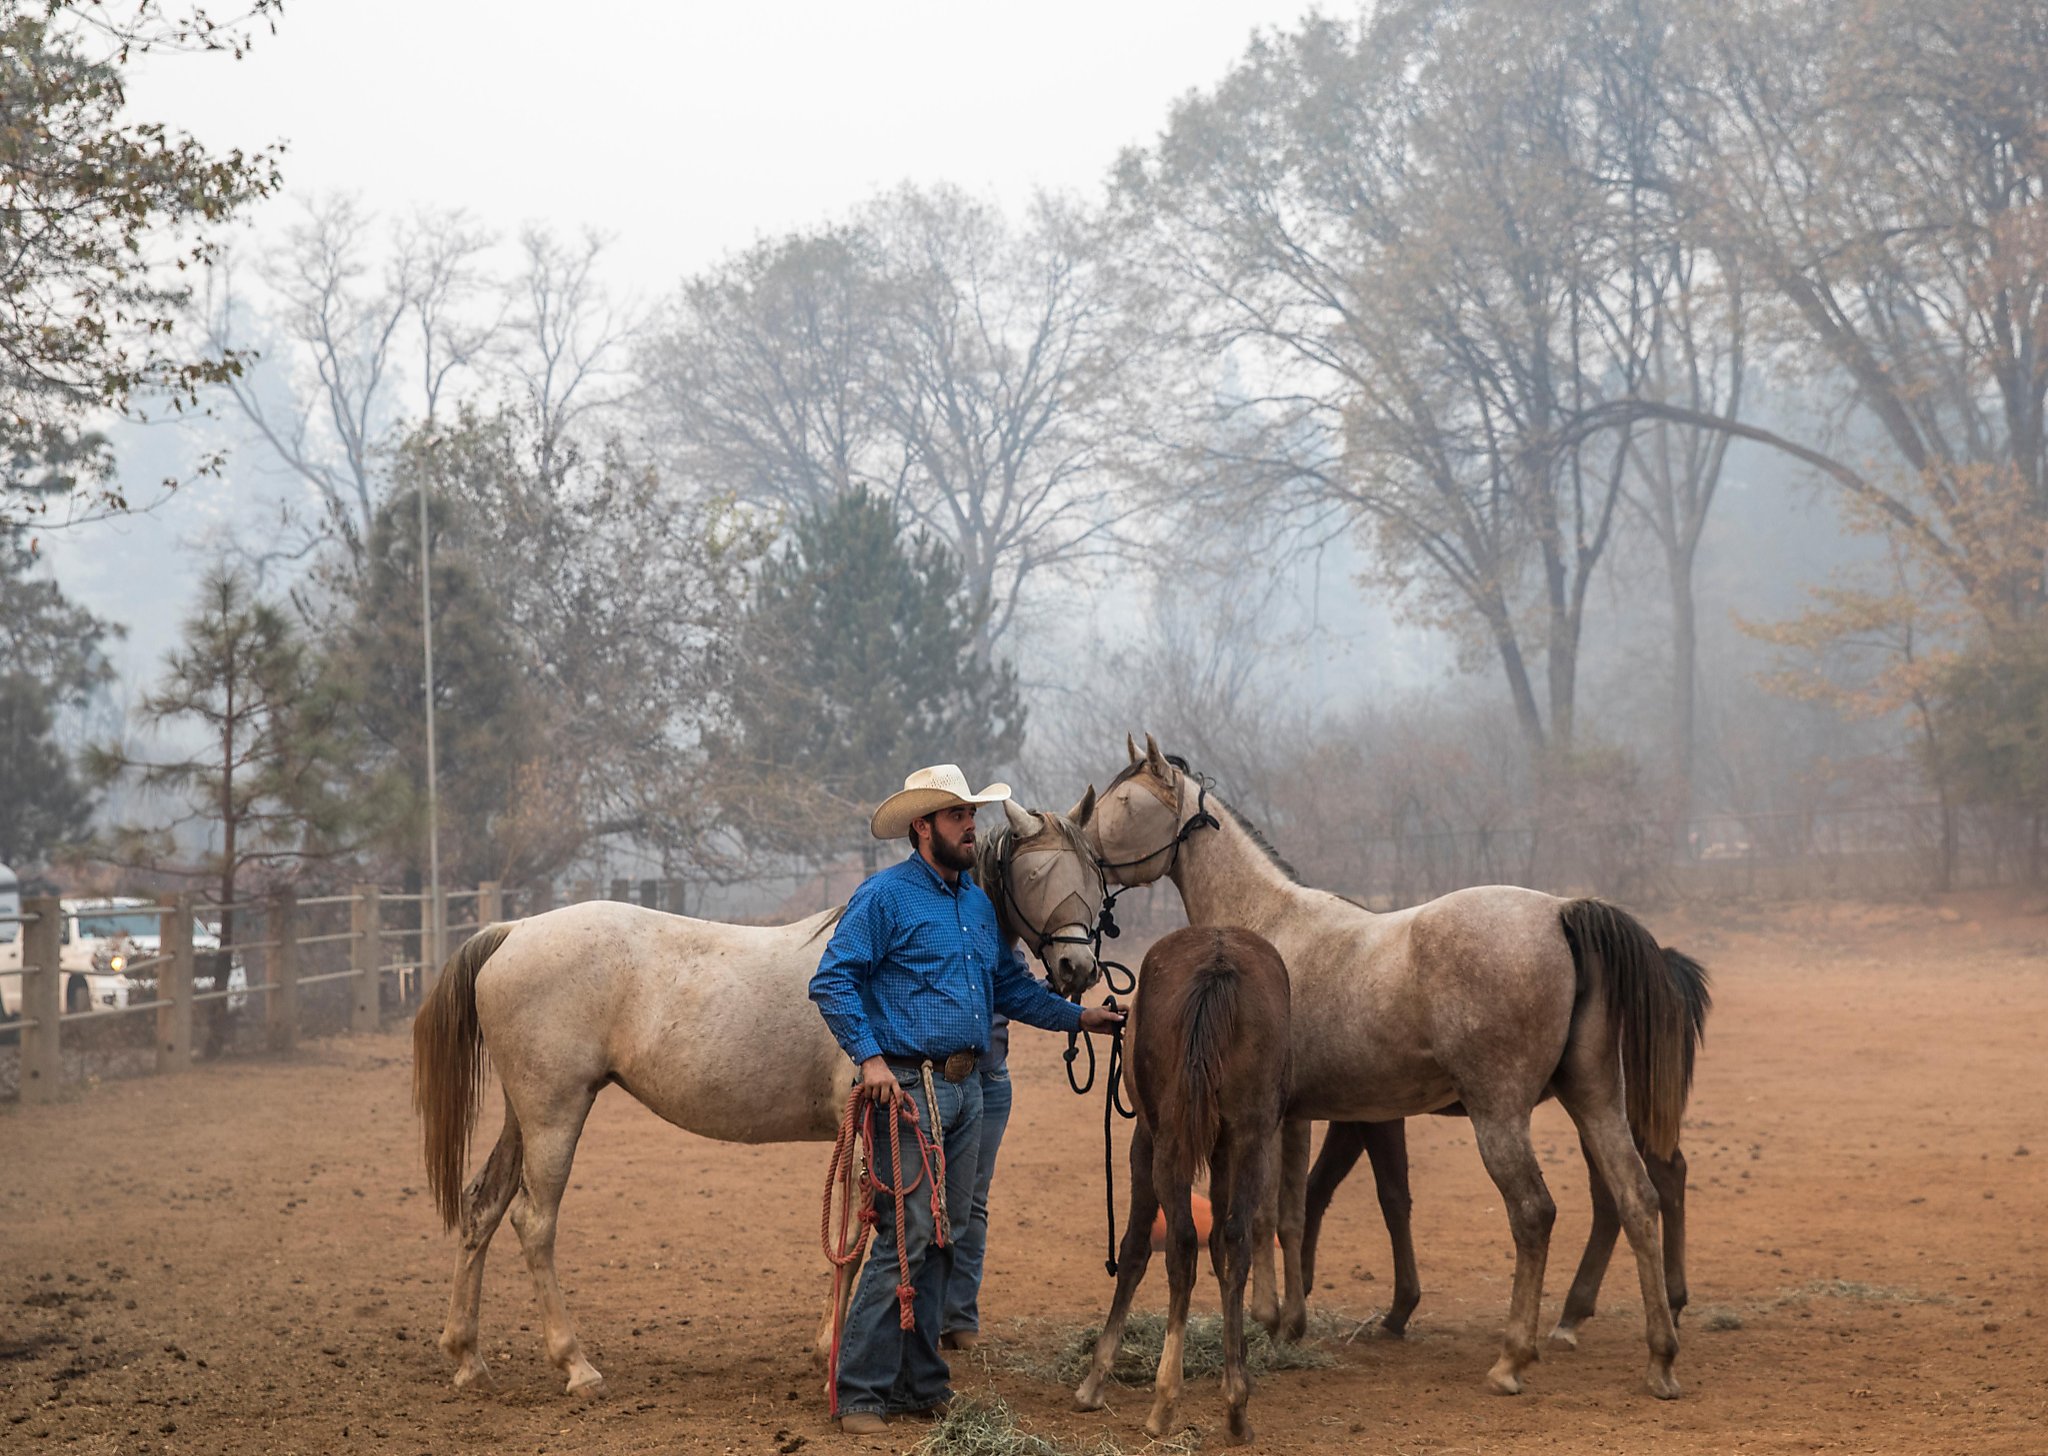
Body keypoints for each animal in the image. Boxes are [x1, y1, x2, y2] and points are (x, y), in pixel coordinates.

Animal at [410, 799, 1103, 1396]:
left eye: (1093, 873)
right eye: (1037, 873)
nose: (1079, 969)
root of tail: (515, 930)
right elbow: (861, 1236)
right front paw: (834, 1350)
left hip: (521, 1116)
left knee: (482, 1207)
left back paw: (467, 1357)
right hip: (554, 1114)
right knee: (533, 1222)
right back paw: (575, 1365)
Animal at [1070, 927, 1291, 1446]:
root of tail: (1218, 966)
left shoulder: (1143, 1143)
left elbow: (1134, 1248)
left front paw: (1094, 1381)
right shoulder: (1226, 1149)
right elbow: (1224, 1248)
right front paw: (1238, 1372)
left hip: (1167, 1143)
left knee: (1182, 1244)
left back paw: (1164, 1401)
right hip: (1250, 1139)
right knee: (1233, 1239)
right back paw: (1235, 1411)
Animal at [1299, 937, 1710, 1347]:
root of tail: (1664, 966)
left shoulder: (1375, 1117)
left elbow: (1390, 1196)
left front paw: (1399, 1307)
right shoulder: (1354, 1113)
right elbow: (1319, 1186)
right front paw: (1305, 1282)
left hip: (1624, 1108)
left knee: (1651, 1181)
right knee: (1638, 1187)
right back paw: (1621, 1307)